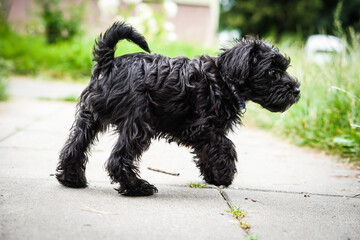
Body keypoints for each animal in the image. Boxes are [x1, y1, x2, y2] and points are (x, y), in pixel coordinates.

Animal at [56, 21, 300, 196]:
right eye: (272, 72)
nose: (297, 90)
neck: (223, 79)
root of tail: (109, 63)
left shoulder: (205, 133)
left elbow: (209, 151)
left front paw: (213, 175)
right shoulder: (200, 129)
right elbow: (226, 147)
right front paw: (225, 174)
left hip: (90, 117)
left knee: (73, 148)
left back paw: (72, 179)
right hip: (139, 124)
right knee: (118, 159)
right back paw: (138, 188)